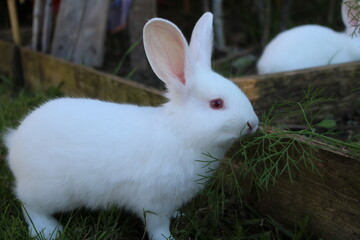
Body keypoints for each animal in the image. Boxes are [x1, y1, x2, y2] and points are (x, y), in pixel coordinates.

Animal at [2, 12, 258, 240]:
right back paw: (48, 231)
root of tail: (15, 143)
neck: (180, 132)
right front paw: (167, 238)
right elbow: (157, 225)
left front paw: (178, 215)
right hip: (49, 191)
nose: (253, 123)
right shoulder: (154, 201)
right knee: (29, 207)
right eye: (216, 104)